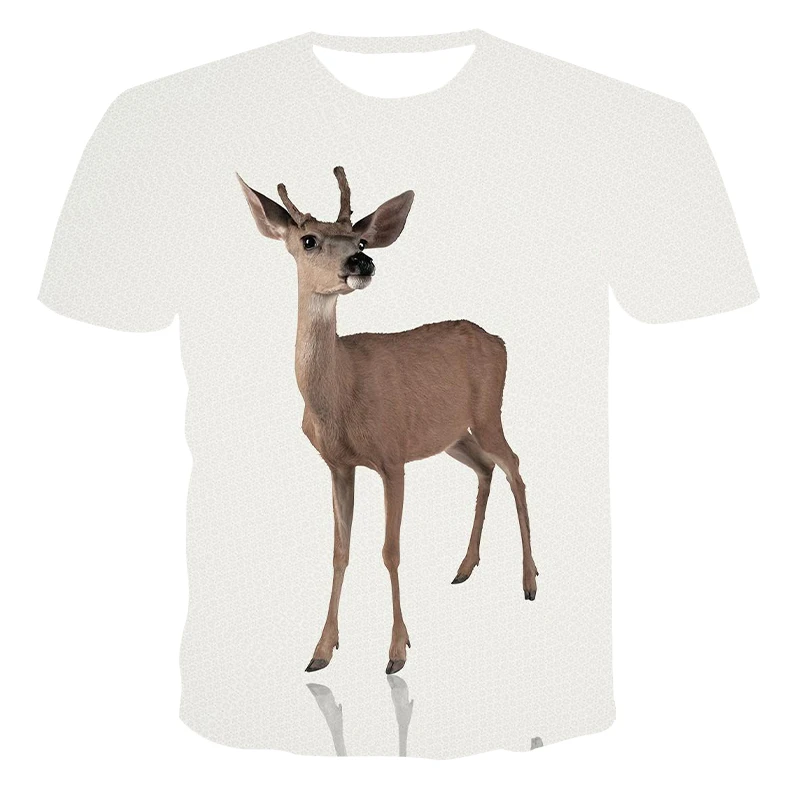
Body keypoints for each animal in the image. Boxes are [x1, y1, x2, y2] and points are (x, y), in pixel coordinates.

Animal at [236, 167, 538, 675]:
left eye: (359, 240)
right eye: (309, 240)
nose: (361, 263)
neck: (340, 396)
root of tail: (498, 340)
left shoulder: (392, 457)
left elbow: (390, 551)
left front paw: (397, 650)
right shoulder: (339, 465)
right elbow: (340, 552)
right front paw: (321, 650)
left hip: (488, 412)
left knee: (515, 465)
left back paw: (530, 580)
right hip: (452, 434)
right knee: (486, 467)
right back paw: (464, 567)